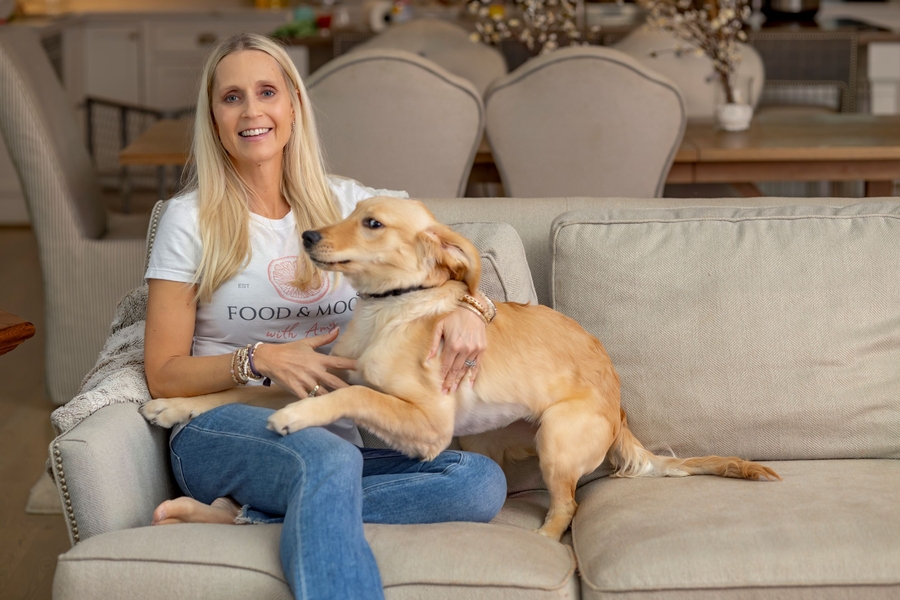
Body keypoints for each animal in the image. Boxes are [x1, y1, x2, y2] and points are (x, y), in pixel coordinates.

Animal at [142, 196, 780, 540]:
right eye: (350, 213)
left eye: (372, 223)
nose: (308, 234)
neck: (390, 307)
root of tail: (621, 410)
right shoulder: (328, 372)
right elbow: (246, 392)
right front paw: (174, 404)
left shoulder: (428, 424)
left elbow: (353, 397)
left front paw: (296, 419)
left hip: (556, 436)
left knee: (568, 506)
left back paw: (544, 539)